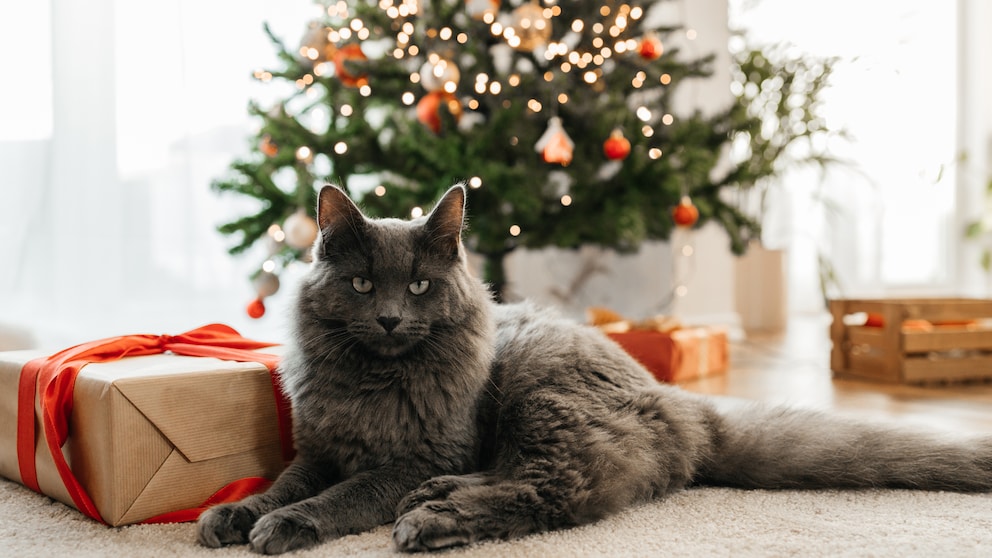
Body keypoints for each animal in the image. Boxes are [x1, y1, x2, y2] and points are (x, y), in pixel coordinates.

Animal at [198, 185, 992, 556]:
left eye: (418, 287)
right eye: (364, 286)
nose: (391, 319)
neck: (374, 384)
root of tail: (678, 402)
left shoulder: (418, 452)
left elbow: (342, 496)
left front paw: (284, 526)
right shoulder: (319, 447)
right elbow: (284, 483)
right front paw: (235, 513)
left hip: (540, 394)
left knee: (551, 493)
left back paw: (432, 517)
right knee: (523, 479)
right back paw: (439, 500)